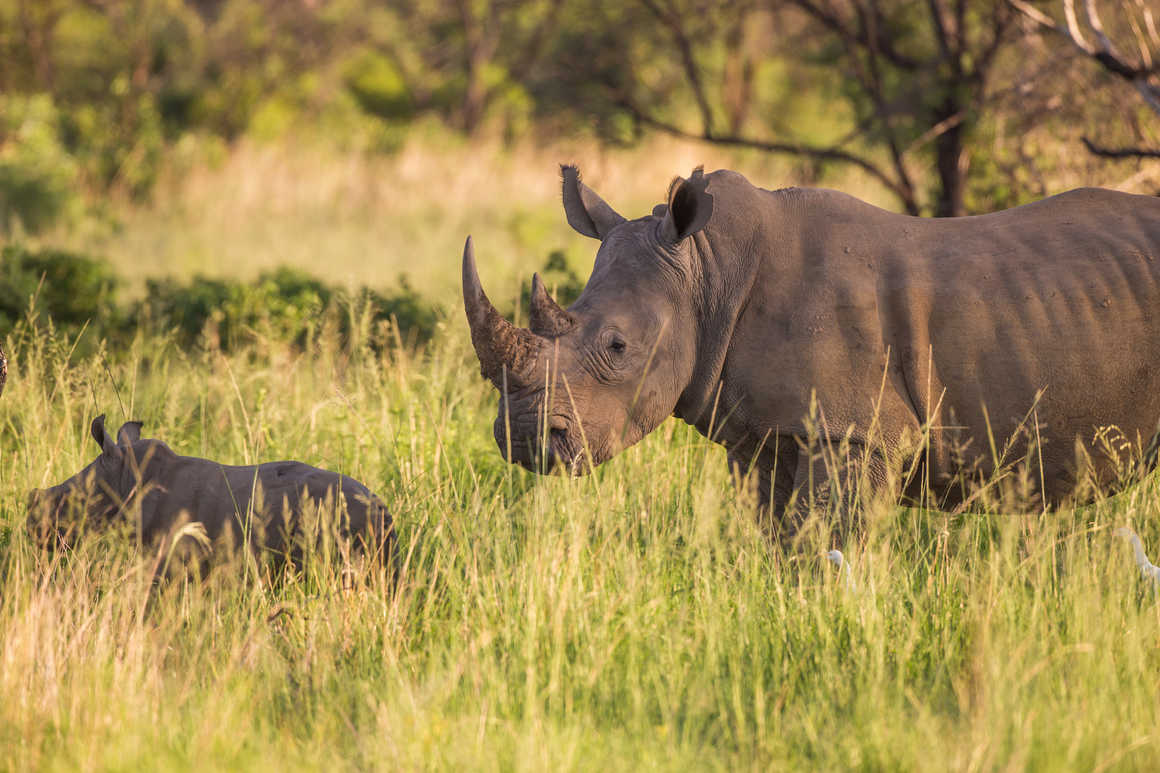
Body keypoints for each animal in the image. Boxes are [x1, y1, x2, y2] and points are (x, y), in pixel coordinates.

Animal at [466, 165, 1160, 533]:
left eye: (616, 346)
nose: (523, 438)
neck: (709, 270)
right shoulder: (765, 435)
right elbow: (781, 539)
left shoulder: (854, 431)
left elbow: (824, 543)